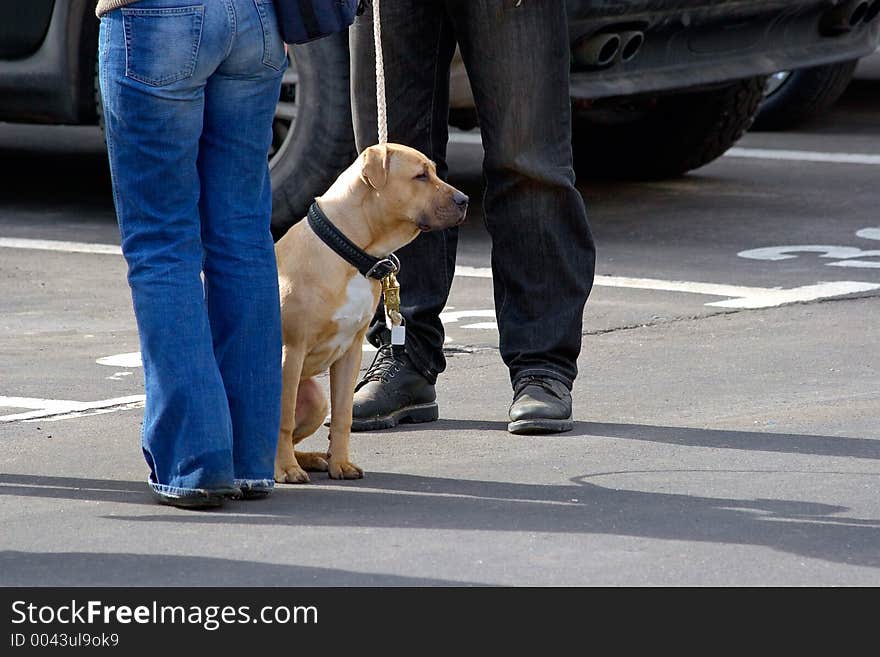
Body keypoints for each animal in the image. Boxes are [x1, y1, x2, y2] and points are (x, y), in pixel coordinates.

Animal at [274, 144, 468, 482]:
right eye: (420, 176)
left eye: (433, 171)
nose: (464, 200)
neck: (351, 252)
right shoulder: (290, 352)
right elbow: (283, 419)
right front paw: (285, 469)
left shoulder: (349, 353)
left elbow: (343, 415)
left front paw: (340, 463)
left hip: (314, 398)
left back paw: (311, 458)